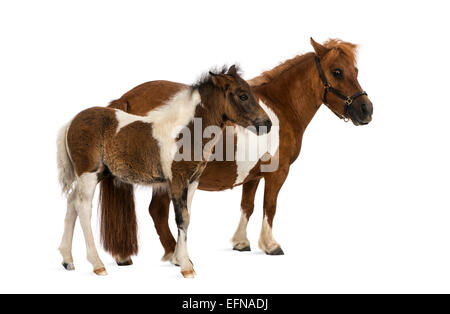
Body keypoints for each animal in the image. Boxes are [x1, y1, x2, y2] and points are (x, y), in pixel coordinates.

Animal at [54, 66, 268, 278]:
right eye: (242, 95)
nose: (267, 123)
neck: (184, 133)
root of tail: (71, 122)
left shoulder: (192, 182)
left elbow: (187, 217)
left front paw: (181, 260)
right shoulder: (177, 180)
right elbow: (182, 218)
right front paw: (186, 267)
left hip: (98, 174)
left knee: (72, 202)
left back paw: (67, 260)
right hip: (88, 174)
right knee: (83, 207)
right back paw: (97, 264)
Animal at [100, 38, 374, 264]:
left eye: (356, 71)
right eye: (337, 72)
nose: (366, 109)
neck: (280, 106)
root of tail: (126, 99)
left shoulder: (253, 175)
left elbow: (247, 205)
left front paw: (241, 243)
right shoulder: (278, 173)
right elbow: (269, 206)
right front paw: (270, 245)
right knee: (157, 212)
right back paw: (174, 255)